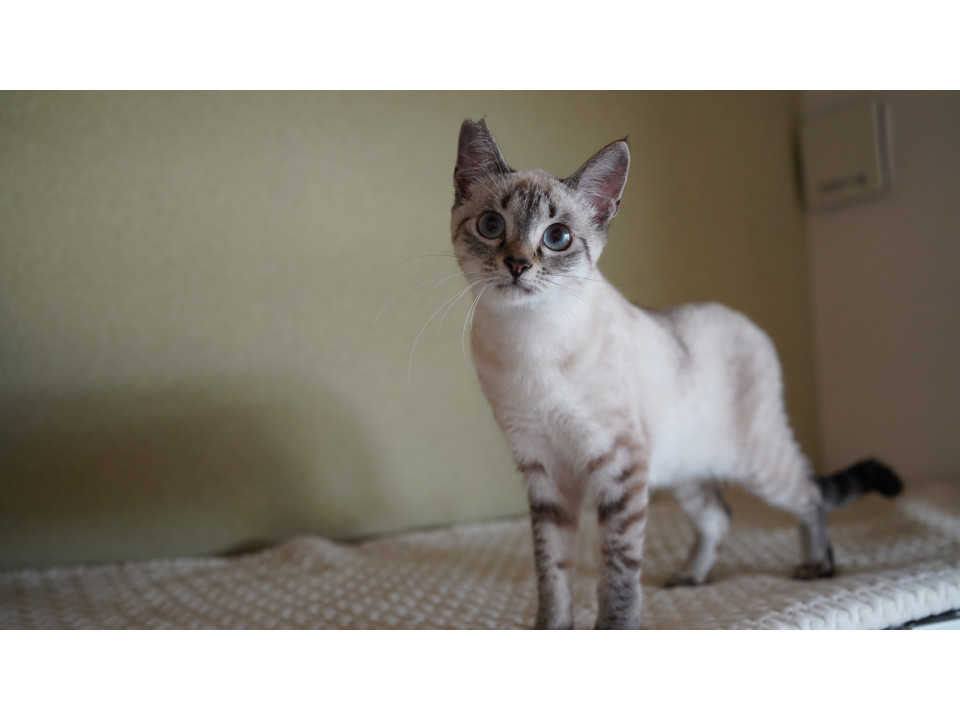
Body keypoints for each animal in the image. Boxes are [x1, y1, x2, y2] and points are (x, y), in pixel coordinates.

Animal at [449, 118, 903, 630]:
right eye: (492, 226)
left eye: (557, 237)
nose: (518, 264)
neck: (529, 339)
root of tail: (747, 321)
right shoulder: (545, 471)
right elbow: (554, 573)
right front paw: (552, 629)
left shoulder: (619, 464)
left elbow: (618, 570)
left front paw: (615, 628)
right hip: (682, 467)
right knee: (720, 515)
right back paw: (692, 576)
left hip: (755, 462)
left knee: (808, 495)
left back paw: (817, 565)